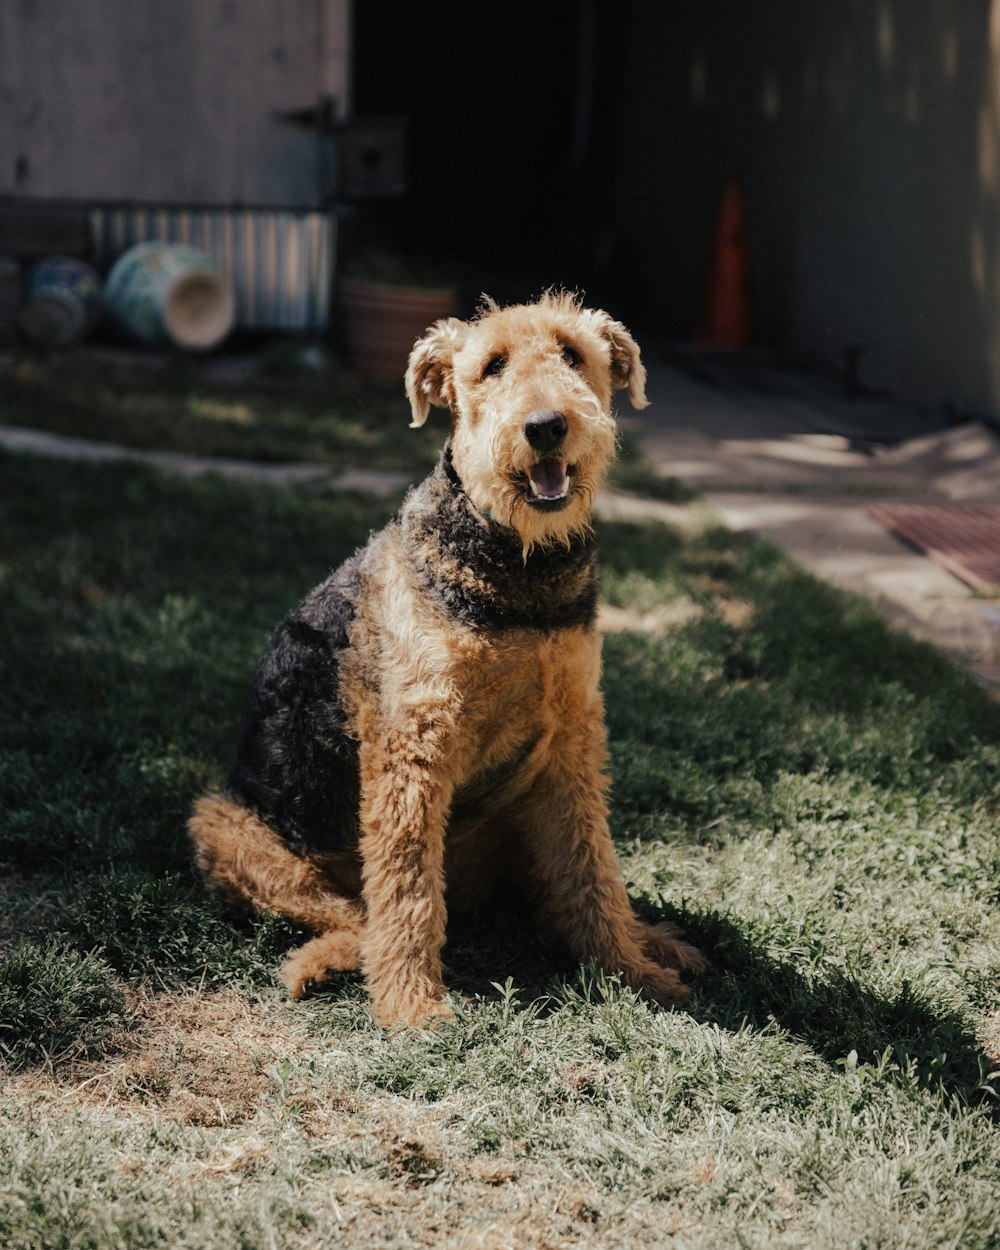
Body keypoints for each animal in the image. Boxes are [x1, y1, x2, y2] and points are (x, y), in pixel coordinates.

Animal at [187, 292, 705, 1025]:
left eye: (573, 354)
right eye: (492, 365)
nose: (546, 426)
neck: (519, 568)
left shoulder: (572, 737)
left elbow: (592, 868)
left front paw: (631, 972)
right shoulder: (413, 746)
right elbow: (407, 892)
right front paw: (412, 1008)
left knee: (548, 893)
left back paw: (656, 941)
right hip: (229, 828)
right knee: (356, 915)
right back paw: (327, 964)